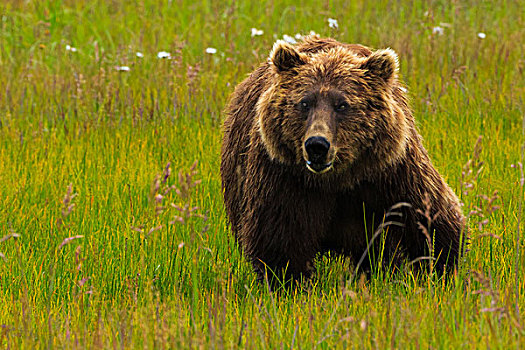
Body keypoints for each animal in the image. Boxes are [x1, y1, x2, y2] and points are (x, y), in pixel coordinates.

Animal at [219, 35, 464, 284]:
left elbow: (432, 220)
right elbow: (279, 242)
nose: (317, 145)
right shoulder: (285, 177)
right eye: (304, 102)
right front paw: (290, 282)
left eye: (342, 104)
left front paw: (439, 271)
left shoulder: (392, 173)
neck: (338, 178)